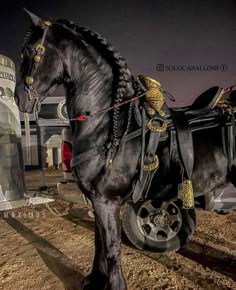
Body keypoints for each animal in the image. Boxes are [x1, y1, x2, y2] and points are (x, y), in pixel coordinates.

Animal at [15, 10, 235, 288]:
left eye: (31, 50)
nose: (19, 98)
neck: (109, 124)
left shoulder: (107, 201)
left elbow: (111, 249)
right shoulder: (98, 200)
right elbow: (100, 243)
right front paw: (94, 280)